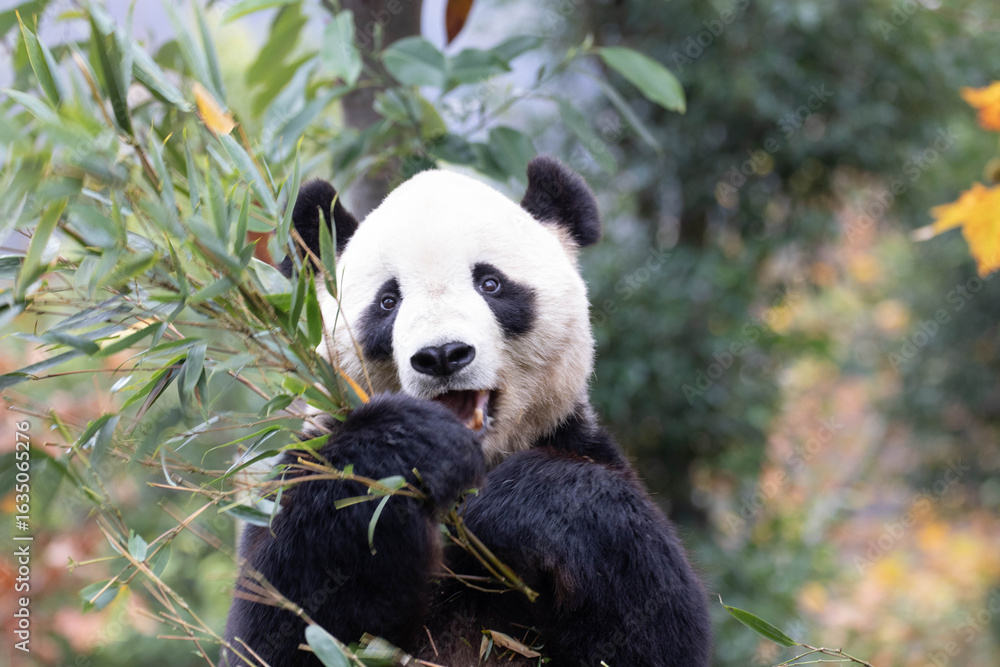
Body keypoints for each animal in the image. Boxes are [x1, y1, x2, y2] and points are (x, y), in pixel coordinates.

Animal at [222, 157, 712, 666]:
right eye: (388, 301)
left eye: (490, 283)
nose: (442, 355)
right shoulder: (305, 459)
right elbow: (277, 620)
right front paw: (411, 447)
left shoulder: (575, 441)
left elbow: (654, 620)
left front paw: (506, 507)